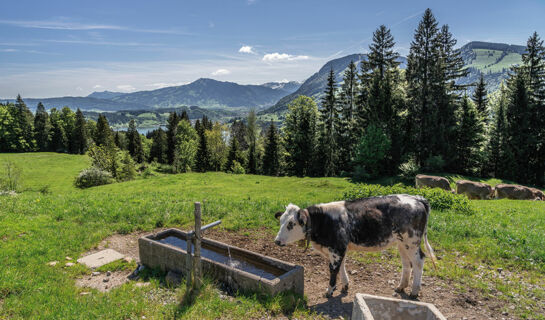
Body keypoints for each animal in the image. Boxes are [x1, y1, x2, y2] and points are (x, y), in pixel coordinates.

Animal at [274, 194, 436, 298]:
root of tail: (416, 198)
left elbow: (333, 269)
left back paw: (414, 291)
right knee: (406, 263)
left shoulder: (337, 249)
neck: (324, 222)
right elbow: (342, 266)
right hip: (402, 243)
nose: (277, 241)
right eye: (281, 221)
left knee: (418, 261)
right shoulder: (339, 248)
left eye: (291, 224)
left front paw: (329, 290)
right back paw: (401, 286)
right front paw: (345, 285)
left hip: (412, 241)